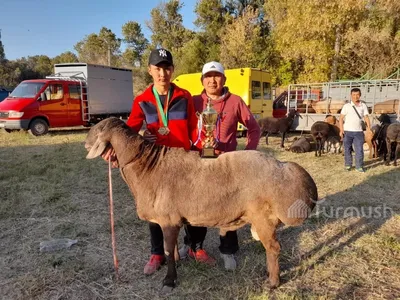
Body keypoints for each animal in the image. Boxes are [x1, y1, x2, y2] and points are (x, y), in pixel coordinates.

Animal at [83, 118, 318, 292]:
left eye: (98, 128)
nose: (85, 142)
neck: (147, 166)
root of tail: (284, 168)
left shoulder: (168, 220)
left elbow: (168, 251)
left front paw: (169, 281)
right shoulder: (171, 222)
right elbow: (172, 249)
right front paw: (178, 263)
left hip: (264, 218)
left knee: (273, 248)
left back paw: (273, 282)